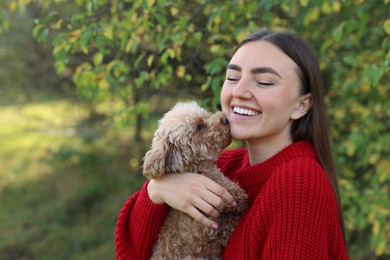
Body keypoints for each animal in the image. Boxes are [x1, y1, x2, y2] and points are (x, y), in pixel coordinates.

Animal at [142, 101, 247, 258]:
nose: (225, 118)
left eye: (206, 115)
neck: (197, 169)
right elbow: (237, 212)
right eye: (199, 127)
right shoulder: (229, 203)